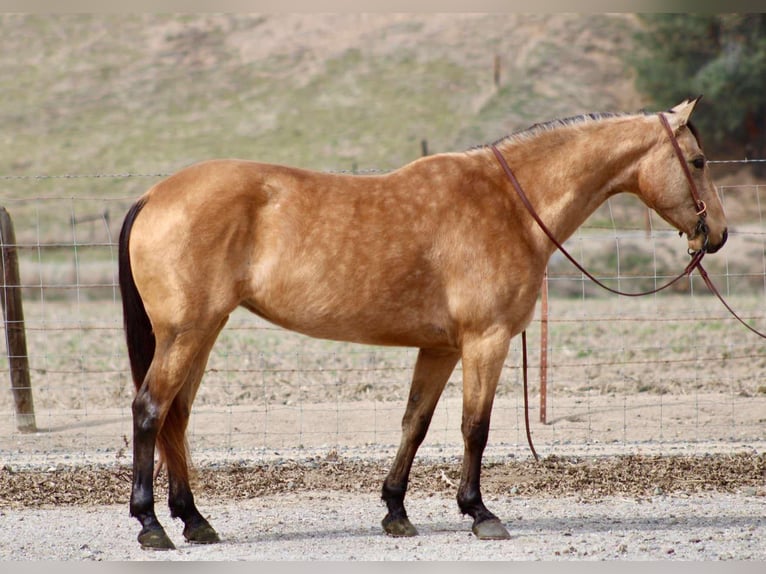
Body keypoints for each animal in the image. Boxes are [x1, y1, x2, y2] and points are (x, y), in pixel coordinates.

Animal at [118, 97, 727, 549]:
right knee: (150, 410)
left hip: (201, 335)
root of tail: (154, 195)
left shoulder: (441, 349)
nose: (717, 234)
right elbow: (475, 427)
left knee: (176, 417)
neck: (510, 205)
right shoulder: (486, 341)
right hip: (187, 334)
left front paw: (395, 510)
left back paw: (194, 520)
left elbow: (416, 422)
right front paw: (479, 513)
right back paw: (151, 524)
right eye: (698, 161)